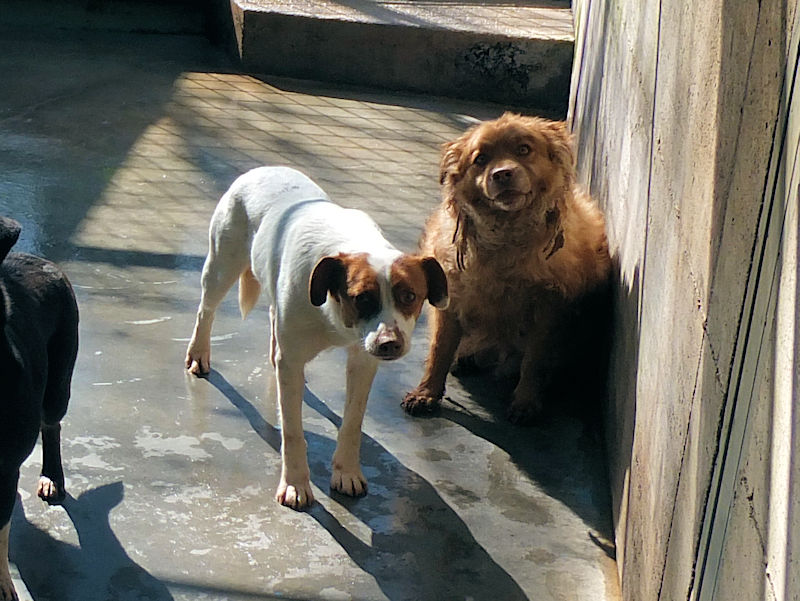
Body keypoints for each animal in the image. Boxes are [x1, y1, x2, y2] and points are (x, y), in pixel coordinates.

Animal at [185, 166, 448, 509]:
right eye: (362, 298)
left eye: (410, 296)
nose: (389, 344)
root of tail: (262, 169)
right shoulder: (295, 361)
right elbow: (293, 432)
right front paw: (295, 484)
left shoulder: (362, 362)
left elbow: (352, 422)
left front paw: (346, 472)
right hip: (221, 268)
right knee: (206, 310)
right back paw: (198, 353)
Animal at [401, 113, 611, 424]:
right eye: (480, 159)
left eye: (524, 149)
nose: (502, 174)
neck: (505, 239)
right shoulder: (451, 300)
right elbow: (439, 349)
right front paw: (426, 393)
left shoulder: (548, 309)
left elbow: (534, 360)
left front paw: (526, 402)